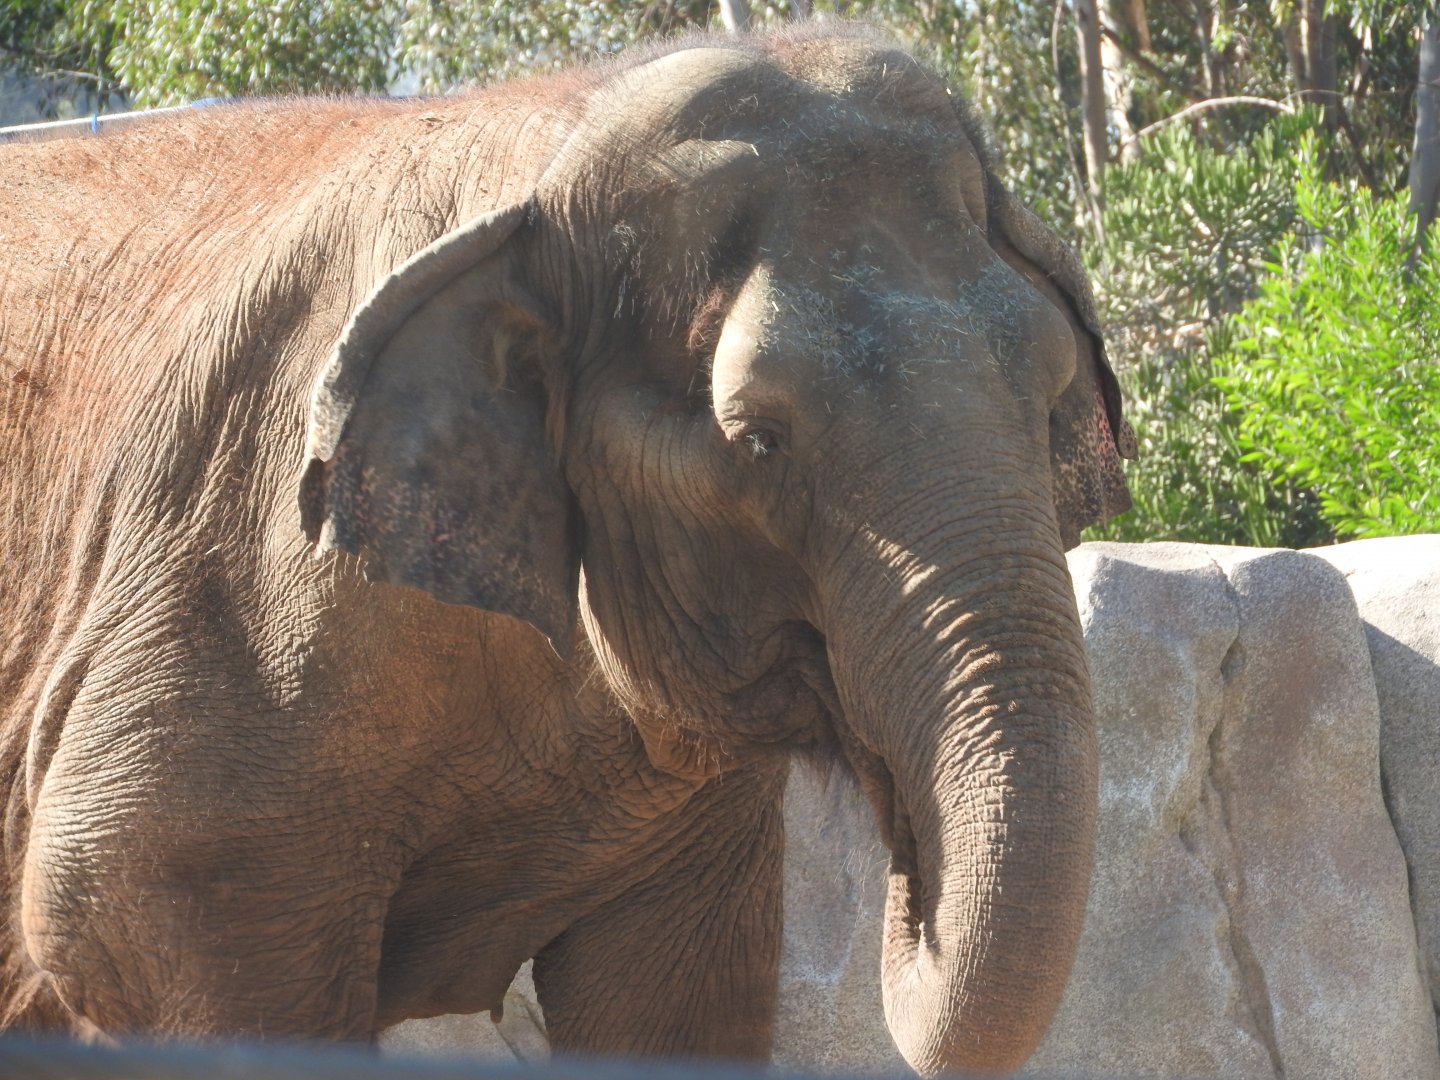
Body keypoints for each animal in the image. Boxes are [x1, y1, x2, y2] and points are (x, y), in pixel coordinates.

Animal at [0, 24, 1133, 1077]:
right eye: (761, 439)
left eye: (1051, 402)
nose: (911, 883)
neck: (551, 140)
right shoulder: (232, 580)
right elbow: (126, 896)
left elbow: (669, 1001)